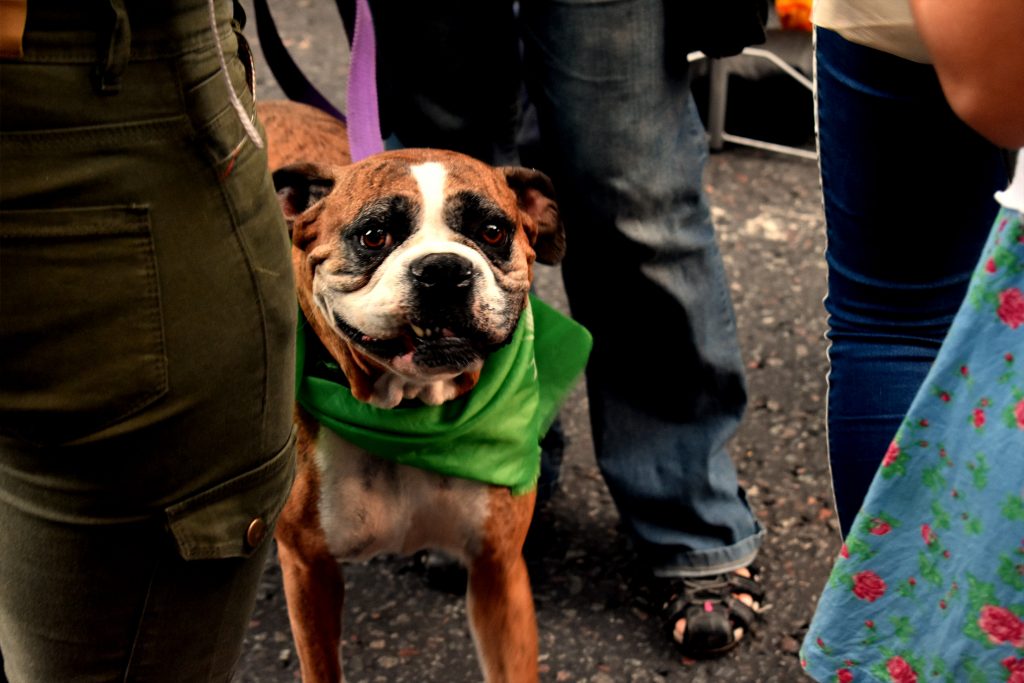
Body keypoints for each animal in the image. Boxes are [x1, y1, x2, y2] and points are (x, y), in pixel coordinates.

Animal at [260, 102, 569, 683]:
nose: (444, 270)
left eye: (492, 231)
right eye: (374, 235)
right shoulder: (309, 571)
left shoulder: (498, 571)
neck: (408, 412)